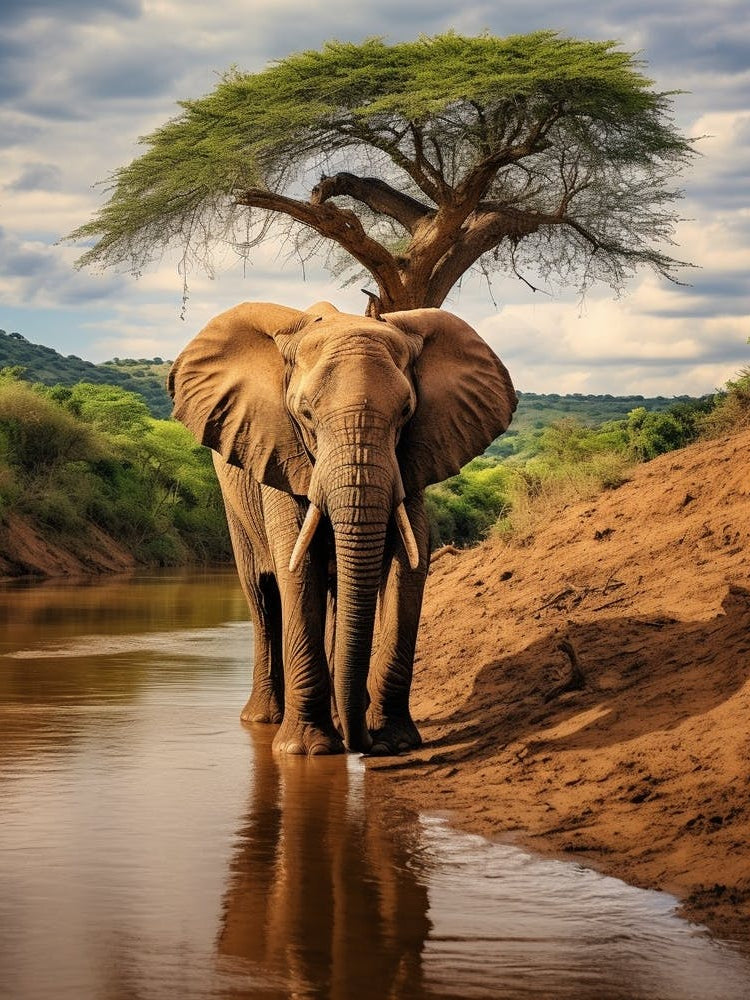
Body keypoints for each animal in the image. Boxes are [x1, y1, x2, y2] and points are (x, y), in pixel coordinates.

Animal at [168, 301, 516, 756]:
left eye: (406, 412)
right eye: (305, 414)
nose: (360, 744)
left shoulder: (413, 458)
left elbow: (408, 565)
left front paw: (394, 742)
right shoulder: (280, 454)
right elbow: (298, 567)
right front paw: (307, 751)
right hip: (234, 505)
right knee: (261, 594)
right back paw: (265, 720)